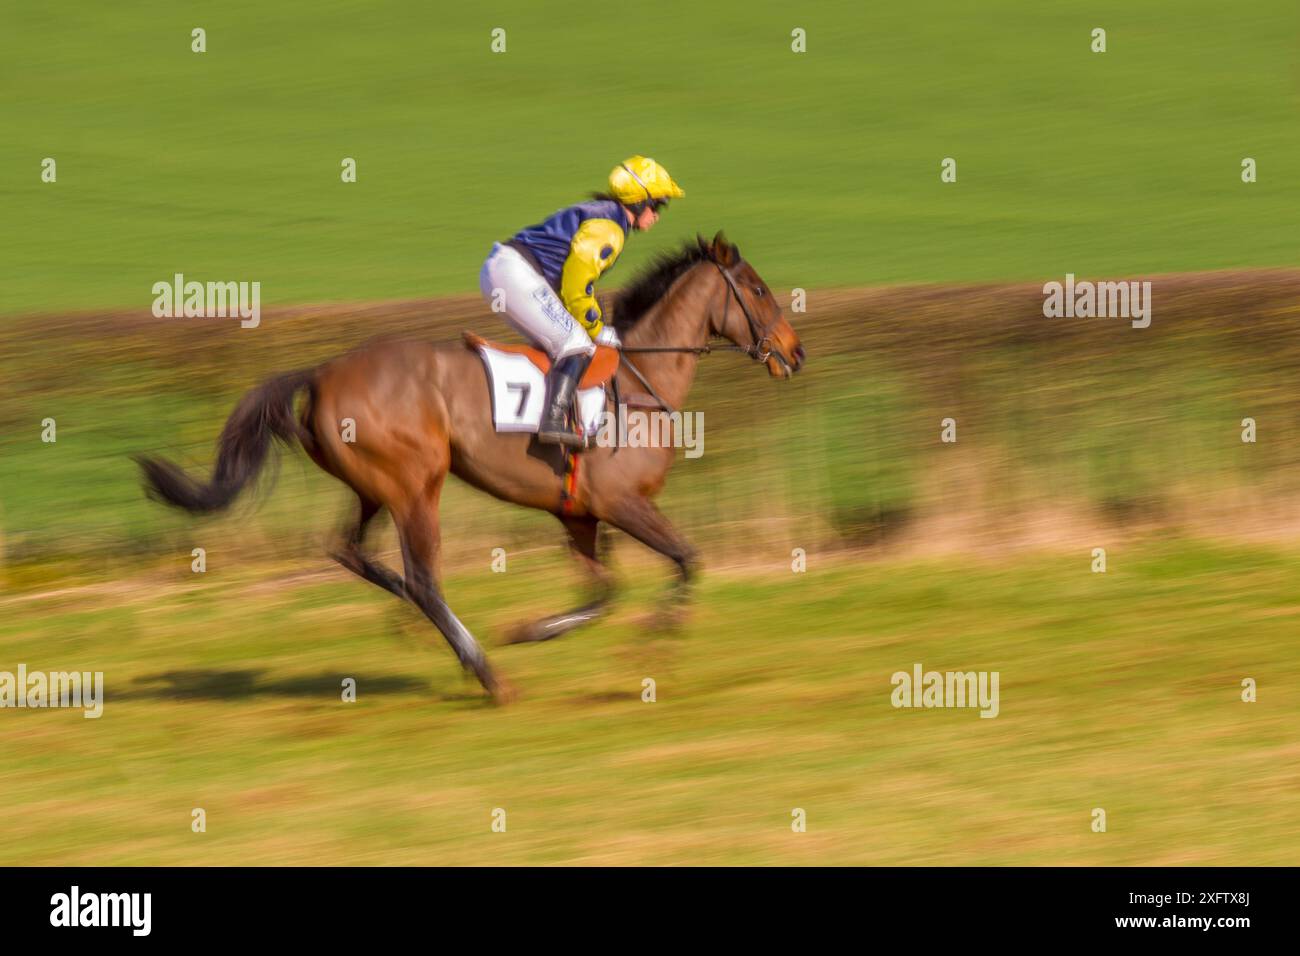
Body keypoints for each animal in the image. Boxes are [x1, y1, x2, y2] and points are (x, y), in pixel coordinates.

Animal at [134, 231, 800, 702]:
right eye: (759, 290)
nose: (795, 353)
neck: (640, 384)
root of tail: (320, 372)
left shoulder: (580, 515)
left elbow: (605, 591)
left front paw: (534, 630)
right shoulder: (623, 503)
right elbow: (688, 560)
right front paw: (654, 643)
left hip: (377, 487)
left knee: (352, 551)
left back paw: (417, 621)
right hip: (416, 486)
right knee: (424, 578)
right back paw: (486, 672)